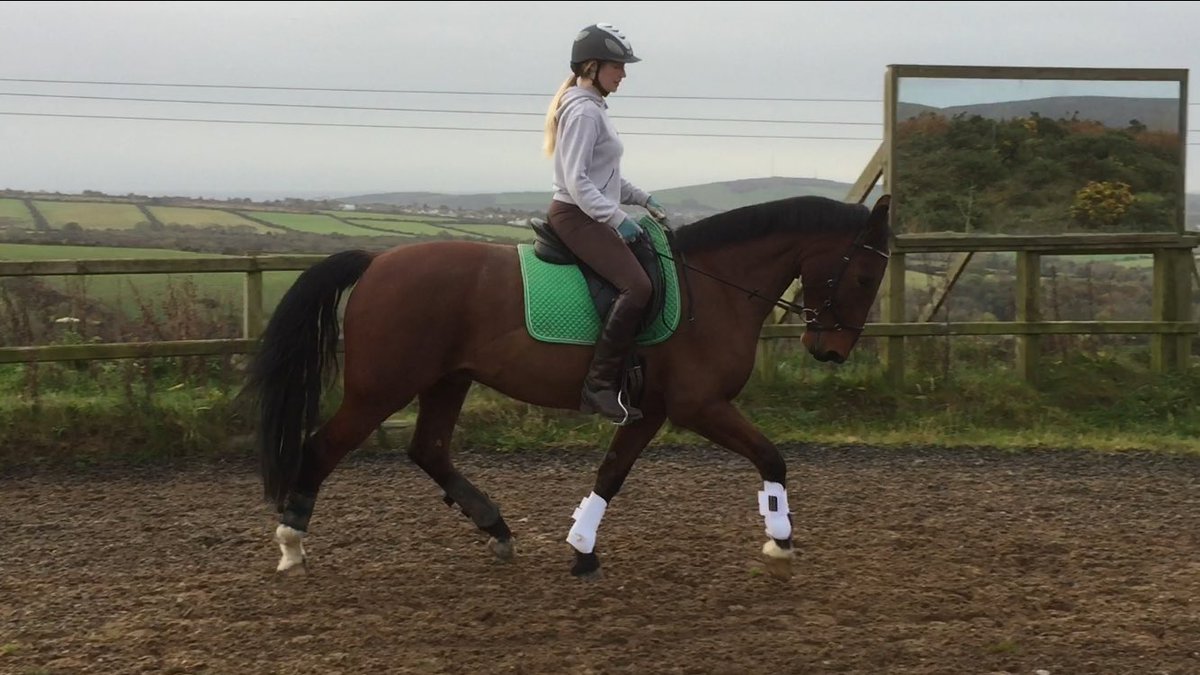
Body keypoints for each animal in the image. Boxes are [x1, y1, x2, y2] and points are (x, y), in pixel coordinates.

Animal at [244, 194, 892, 579]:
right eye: (864, 276)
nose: (831, 352)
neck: (715, 288)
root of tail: (377, 261)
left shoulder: (650, 410)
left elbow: (612, 473)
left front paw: (582, 546)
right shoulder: (698, 405)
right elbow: (771, 457)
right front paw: (780, 537)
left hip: (447, 381)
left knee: (428, 450)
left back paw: (497, 529)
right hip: (381, 389)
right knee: (322, 448)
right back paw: (291, 544)